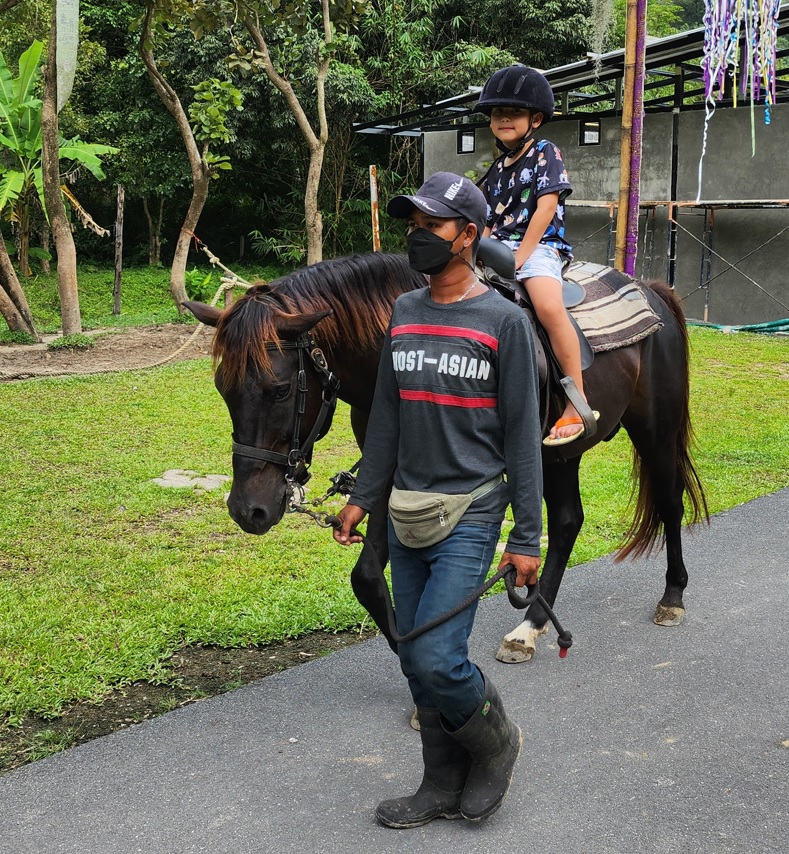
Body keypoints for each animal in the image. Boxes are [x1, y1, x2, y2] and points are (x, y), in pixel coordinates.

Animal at [186, 251, 708, 664]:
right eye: (222, 389)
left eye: (278, 390)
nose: (248, 510)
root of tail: (651, 289)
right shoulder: (389, 467)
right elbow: (368, 575)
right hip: (560, 454)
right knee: (566, 522)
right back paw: (530, 627)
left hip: (655, 431)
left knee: (670, 502)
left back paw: (672, 597)